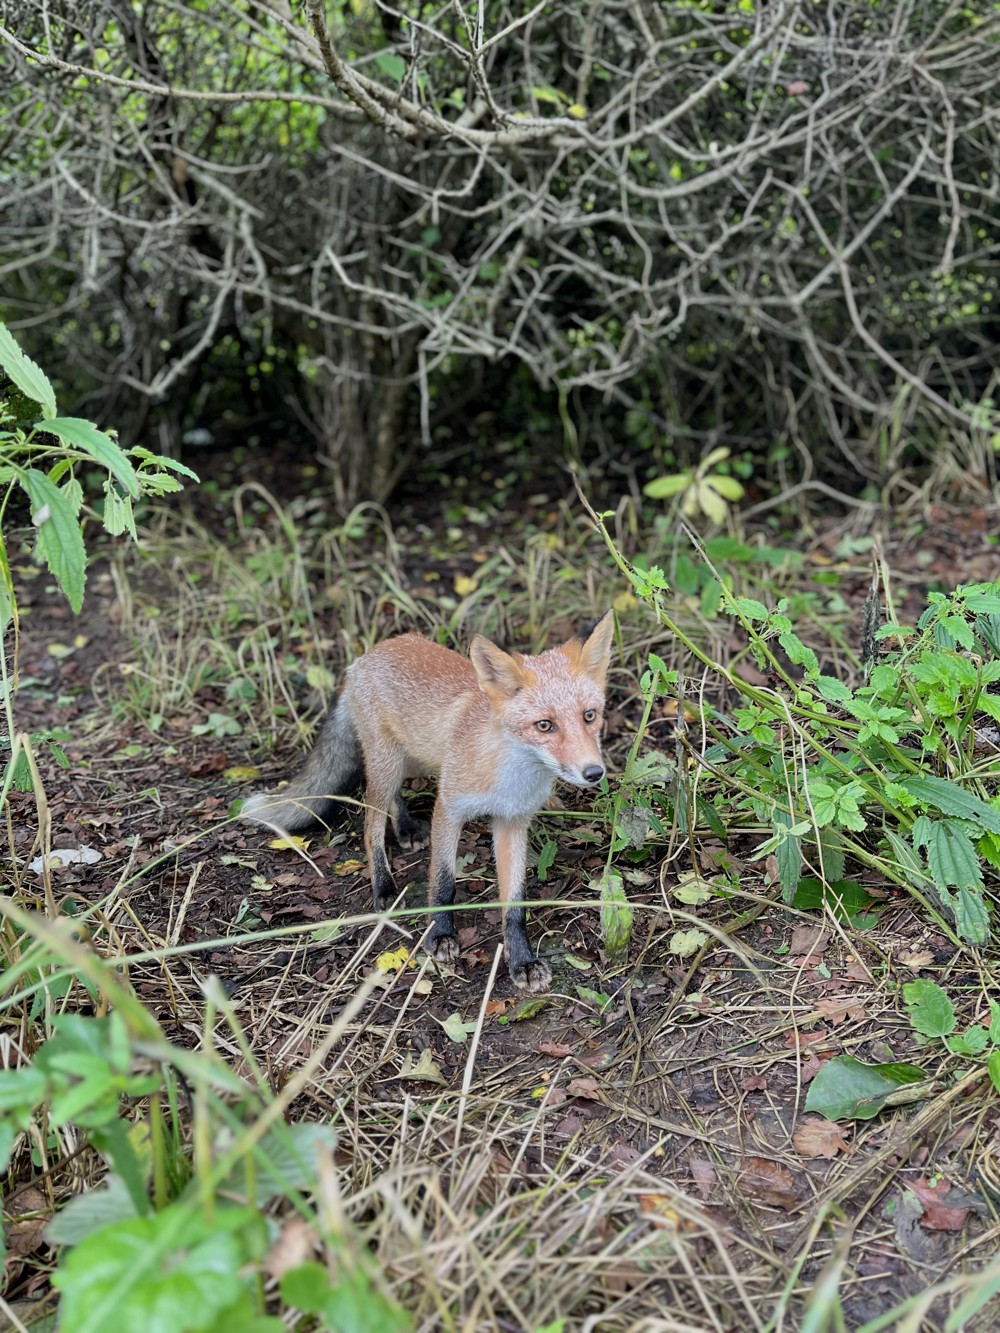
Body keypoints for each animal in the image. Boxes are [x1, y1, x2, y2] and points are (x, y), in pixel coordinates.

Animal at [245, 613, 618, 991]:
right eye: (544, 725)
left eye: (589, 716)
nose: (594, 772)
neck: (510, 777)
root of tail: (369, 653)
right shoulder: (449, 809)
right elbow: (443, 882)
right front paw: (440, 935)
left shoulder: (512, 821)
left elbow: (514, 904)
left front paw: (521, 960)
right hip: (388, 763)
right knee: (370, 823)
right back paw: (384, 885)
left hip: (415, 759)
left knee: (391, 796)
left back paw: (406, 827)